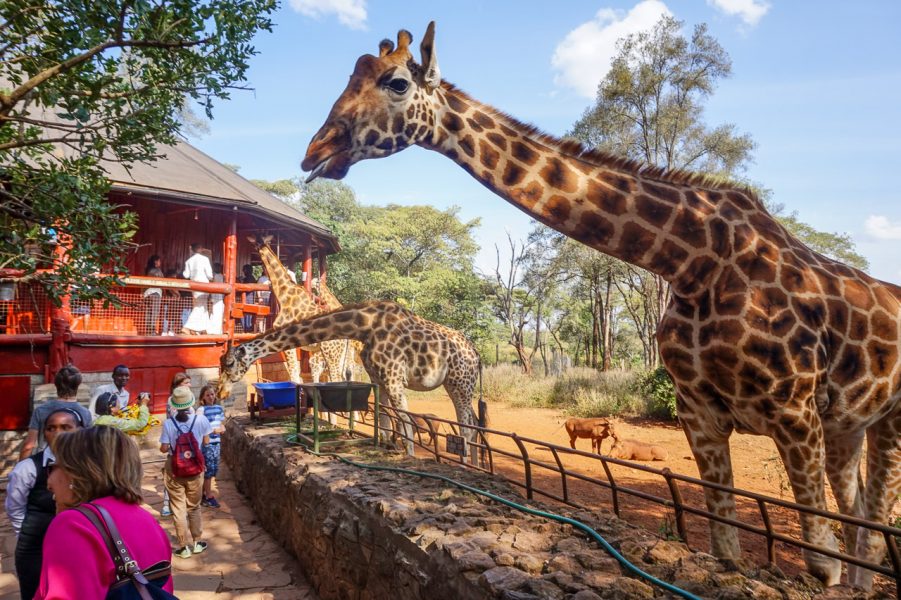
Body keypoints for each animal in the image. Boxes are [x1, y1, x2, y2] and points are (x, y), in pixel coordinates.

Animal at [253, 234, 352, 384]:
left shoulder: (284, 340)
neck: (284, 294)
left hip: (331, 352)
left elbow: (293, 374)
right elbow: (296, 374)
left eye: (258, 241)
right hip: (340, 355)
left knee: (336, 377)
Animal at [300, 22, 900, 584]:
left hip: (884, 419)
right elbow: (727, 548)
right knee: (860, 525)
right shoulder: (702, 416)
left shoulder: (794, 413)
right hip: (847, 425)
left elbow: (821, 566)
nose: (314, 152)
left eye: (396, 83)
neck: (693, 260)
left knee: (869, 534)